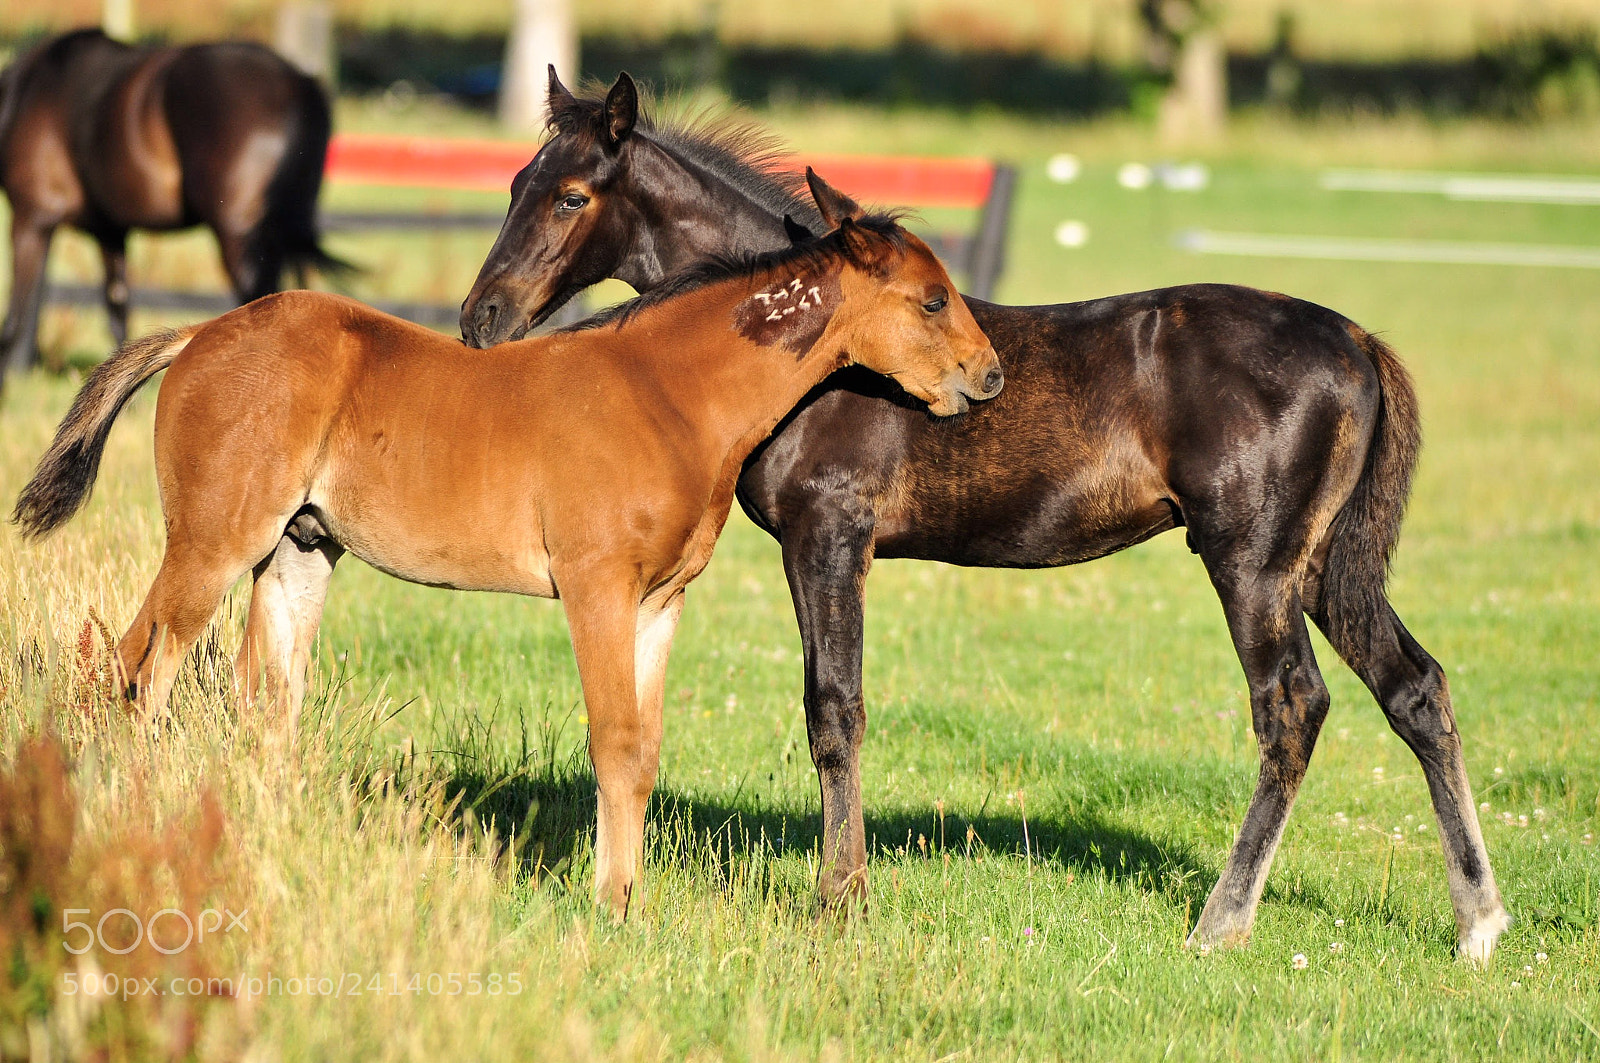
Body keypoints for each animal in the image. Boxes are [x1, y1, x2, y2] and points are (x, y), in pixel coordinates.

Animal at [0, 28, 344, 384]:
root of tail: (297, 82)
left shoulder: (31, 219)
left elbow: (16, 317)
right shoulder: (109, 230)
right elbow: (117, 309)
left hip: (239, 235)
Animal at [13, 170, 1002, 917]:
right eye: (931, 300)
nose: (989, 376)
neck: (667, 391)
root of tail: (196, 336)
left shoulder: (660, 601)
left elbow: (644, 751)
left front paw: (632, 895)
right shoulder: (597, 585)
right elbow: (613, 739)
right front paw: (610, 903)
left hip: (297, 552)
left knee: (262, 700)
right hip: (215, 542)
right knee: (138, 669)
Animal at [456, 71, 1509, 961]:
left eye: (571, 197)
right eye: (512, 182)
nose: (480, 320)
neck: (823, 357)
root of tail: (1356, 339)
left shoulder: (828, 537)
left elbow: (834, 711)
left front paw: (840, 899)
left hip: (1251, 562)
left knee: (1292, 705)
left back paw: (1222, 921)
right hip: (1322, 565)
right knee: (1414, 688)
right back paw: (1479, 924)